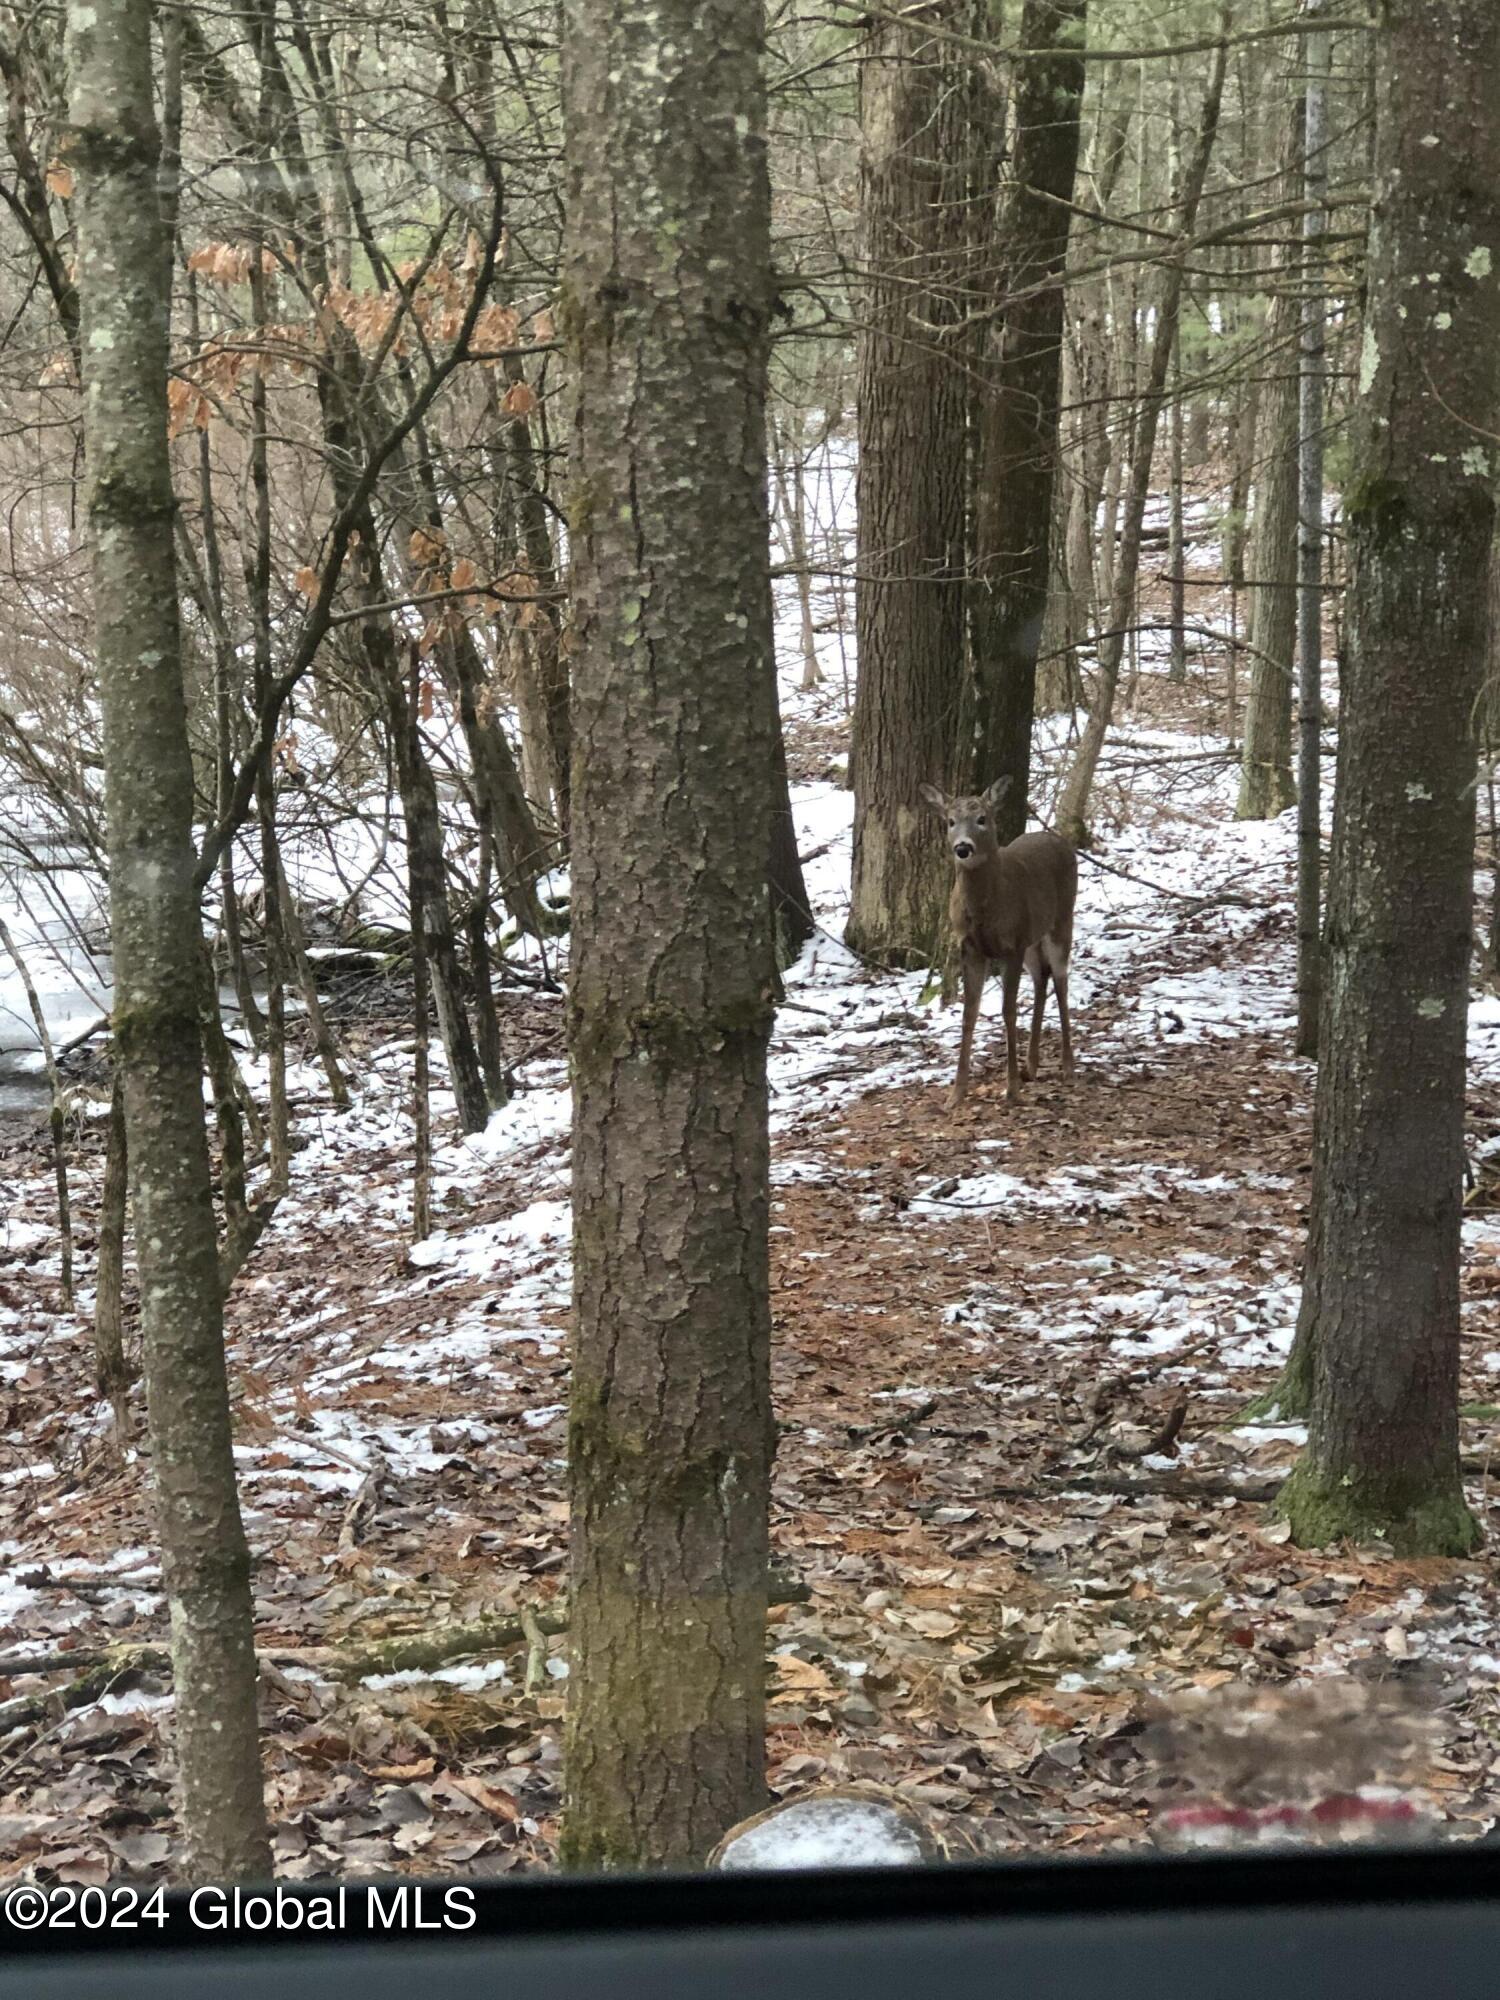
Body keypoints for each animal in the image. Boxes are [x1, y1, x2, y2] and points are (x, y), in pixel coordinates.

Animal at [916, 772, 1080, 1112]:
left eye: (982, 818)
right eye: (950, 821)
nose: (962, 848)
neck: (985, 909)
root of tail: (1060, 840)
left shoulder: (1010, 945)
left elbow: (1008, 1011)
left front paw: (1012, 1089)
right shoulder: (970, 947)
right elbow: (969, 1013)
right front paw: (955, 1095)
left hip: (1061, 921)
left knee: (1061, 981)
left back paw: (1068, 1067)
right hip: (1032, 940)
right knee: (1042, 979)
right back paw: (1031, 1066)